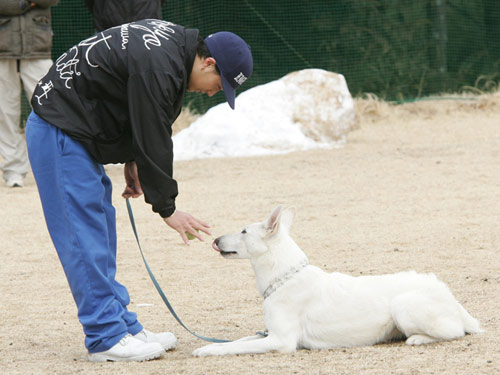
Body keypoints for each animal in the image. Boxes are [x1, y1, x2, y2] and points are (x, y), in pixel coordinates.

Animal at [191, 209, 480, 358]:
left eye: (243, 231)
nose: (215, 239)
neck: (284, 277)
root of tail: (450, 296)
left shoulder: (280, 341)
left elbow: (236, 346)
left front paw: (207, 350)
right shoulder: (268, 333)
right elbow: (238, 340)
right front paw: (212, 345)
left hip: (404, 305)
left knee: (454, 332)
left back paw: (418, 339)